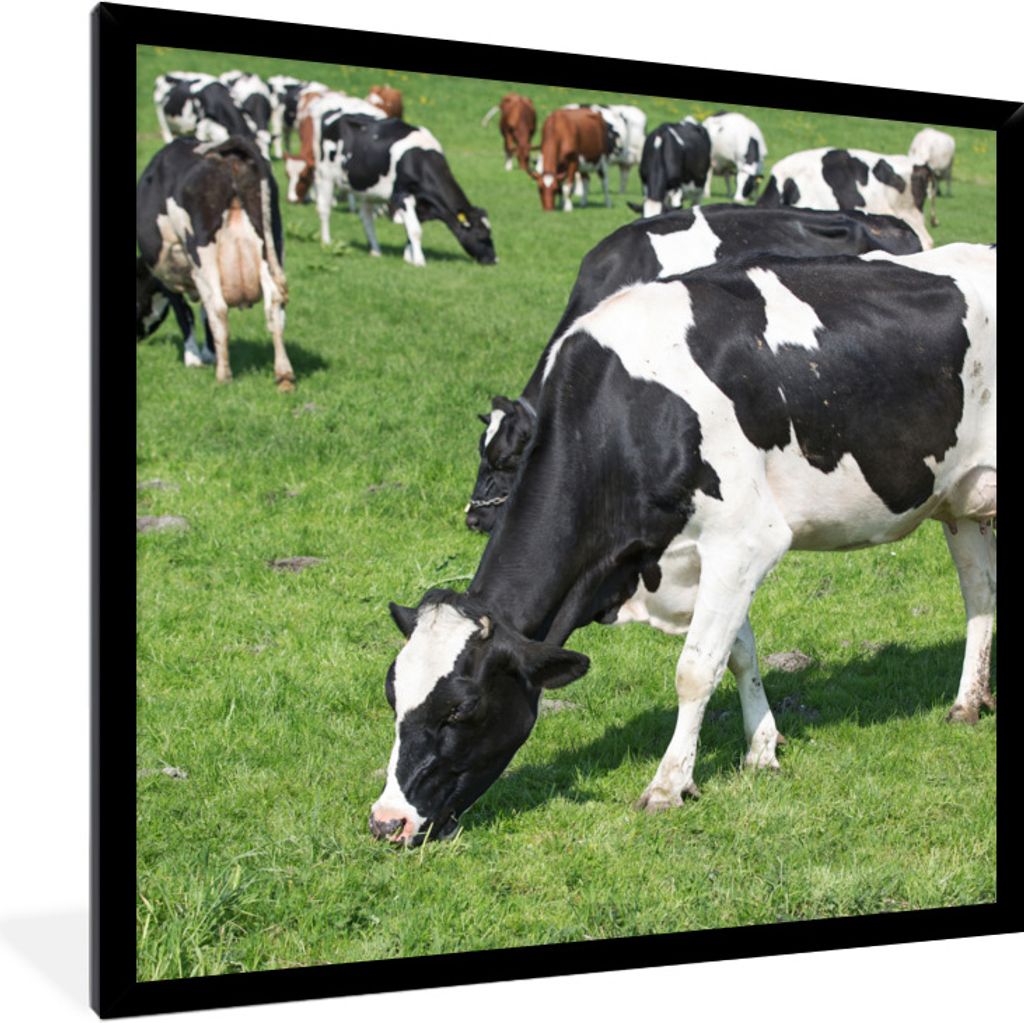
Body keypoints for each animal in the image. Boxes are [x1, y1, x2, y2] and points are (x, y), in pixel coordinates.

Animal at [136, 136, 295, 391]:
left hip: (203, 251)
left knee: (218, 308)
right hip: (271, 245)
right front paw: (209, 354)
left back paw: (223, 375)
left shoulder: (171, 275)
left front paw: (193, 358)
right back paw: (284, 375)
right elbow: (201, 314)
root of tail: (231, 149)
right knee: (274, 305)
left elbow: (186, 314)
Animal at [314, 114, 496, 266]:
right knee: (324, 209)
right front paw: (420, 262)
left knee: (366, 218)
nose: (494, 260)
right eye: (481, 237)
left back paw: (375, 251)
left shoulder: (421, 204)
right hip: (325, 176)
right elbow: (415, 230)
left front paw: (409, 258)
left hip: (367, 190)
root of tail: (336, 119)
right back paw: (326, 241)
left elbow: (411, 230)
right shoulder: (402, 196)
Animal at [370, 242, 995, 845]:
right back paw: (968, 704)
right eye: (392, 695)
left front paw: (669, 786)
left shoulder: (745, 538)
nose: (385, 821)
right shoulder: (701, 557)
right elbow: (738, 653)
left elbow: (695, 668)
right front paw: (761, 749)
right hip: (962, 505)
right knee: (978, 596)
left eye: (461, 710)